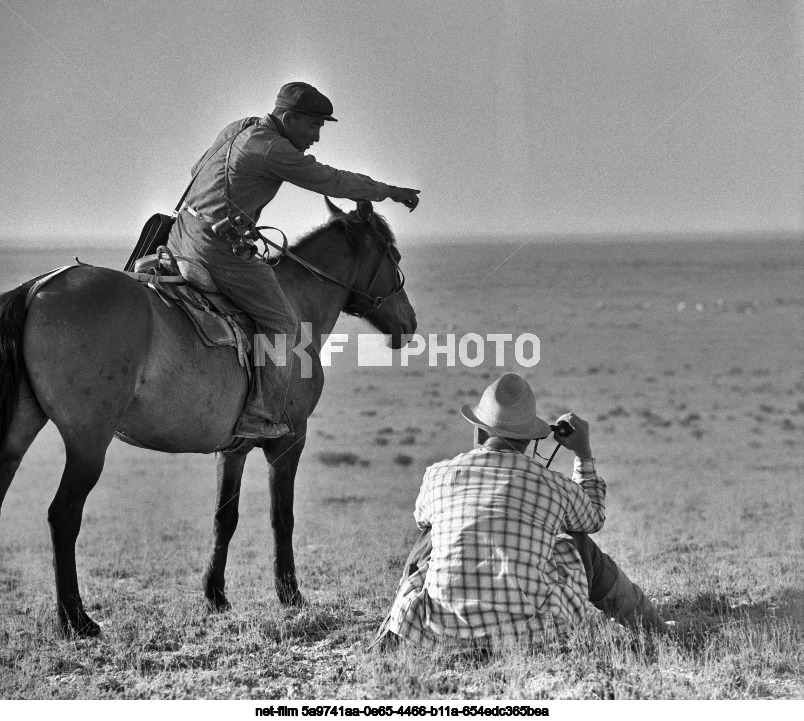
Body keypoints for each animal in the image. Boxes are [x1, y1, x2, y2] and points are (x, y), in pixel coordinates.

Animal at [0, 197, 414, 636]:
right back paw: (77, 619)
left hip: (17, 436)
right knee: (63, 516)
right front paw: (290, 594)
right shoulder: (289, 441)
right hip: (88, 444)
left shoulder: (232, 450)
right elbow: (281, 516)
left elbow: (224, 518)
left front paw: (215, 595)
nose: (409, 322)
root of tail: (40, 287)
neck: (296, 305)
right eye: (394, 255)